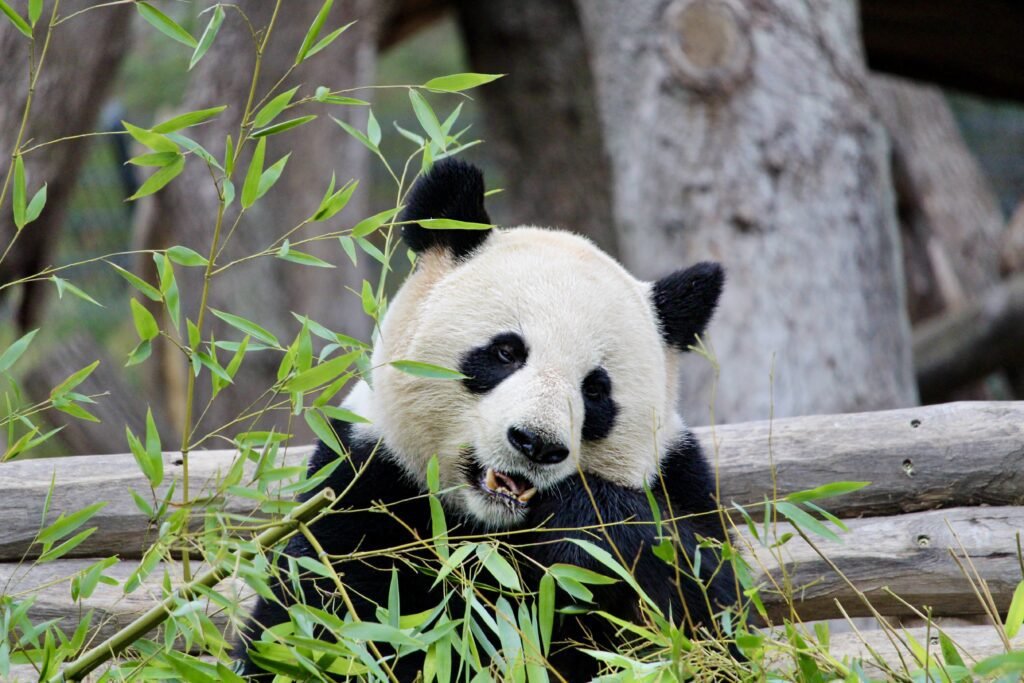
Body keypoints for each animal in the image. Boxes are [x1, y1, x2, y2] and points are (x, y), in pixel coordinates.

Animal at [238, 159, 739, 680]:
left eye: (596, 390)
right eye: (506, 352)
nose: (537, 443)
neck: (488, 530)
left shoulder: (679, 482)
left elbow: (703, 615)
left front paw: (584, 525)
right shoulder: (361, 490)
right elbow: (310, 624)